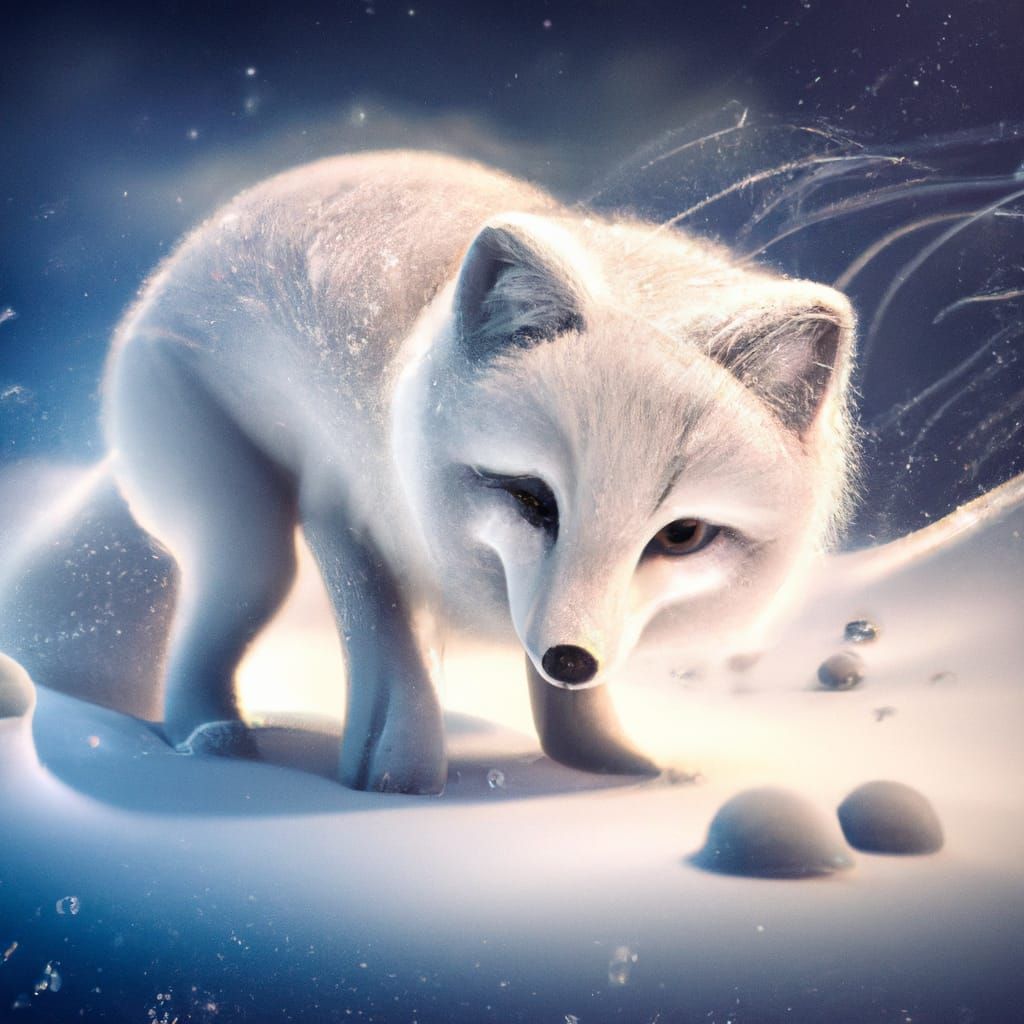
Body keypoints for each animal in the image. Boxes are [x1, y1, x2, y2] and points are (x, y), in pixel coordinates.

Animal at [85, 150, 857, 794]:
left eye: (682, 536)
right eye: (531, 498)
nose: (570, 660)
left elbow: (563, 689)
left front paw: (607, 761)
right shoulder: (339, 509)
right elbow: (389, 646)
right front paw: (397, 772)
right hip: (245, 533)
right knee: (225, 606)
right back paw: (208, 736)